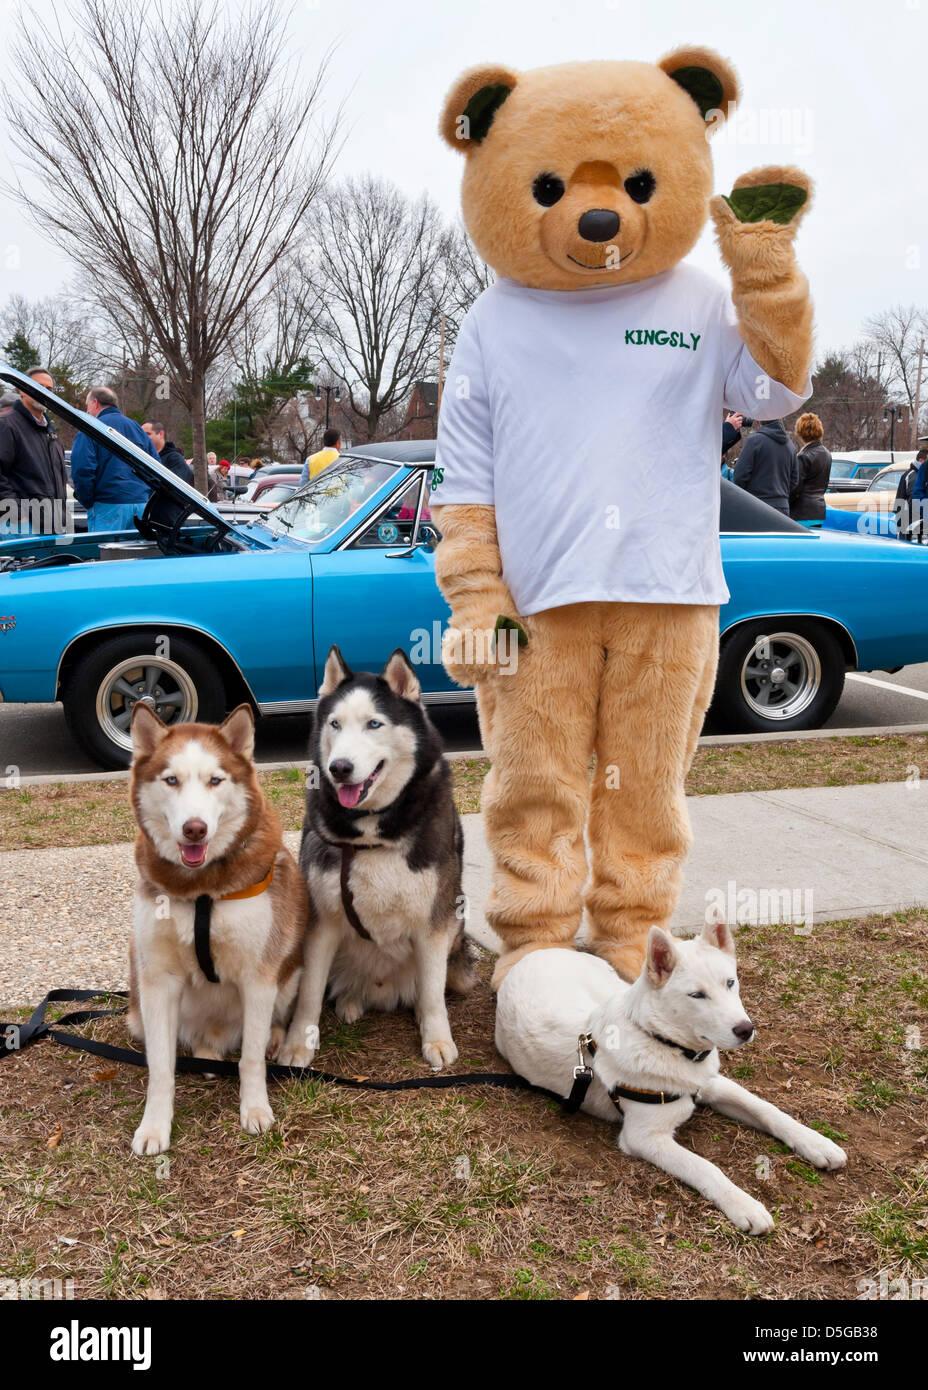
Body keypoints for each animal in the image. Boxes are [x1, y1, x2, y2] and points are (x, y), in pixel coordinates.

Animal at [127, 706, 308, 1150]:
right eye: (171, 779)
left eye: (215, 780)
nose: (195, 828)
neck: (201, 892)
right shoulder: (157, 981)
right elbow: (161, 1068)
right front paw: (154, 1126)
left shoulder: (259, 976)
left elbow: (250, 1059)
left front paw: (255, 1109)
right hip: (137, 1002)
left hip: (291, 971)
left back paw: (272, 1038)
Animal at [279, 644, 475, 1067]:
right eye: (335, 724)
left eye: (374, 724)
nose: (339, 768)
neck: (372, 828)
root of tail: (382, 990)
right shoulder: (321, 923)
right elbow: (309, 994)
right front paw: (298, 1043)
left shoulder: (434, 923)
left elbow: (432, 993)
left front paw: (436, 1038)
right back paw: (350, 1001)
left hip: (457, 944)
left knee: (431, 986)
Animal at [497, 917, 844, 1234]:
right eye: (697, 995)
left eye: (730, 983)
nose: (745, 1030)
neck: (664, 1043)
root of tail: (539, 952)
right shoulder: (644, 1137)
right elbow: (705, 1167)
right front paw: (743, 1204)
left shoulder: (712, 1085)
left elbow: (768, 1110)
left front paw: (817, 1143)